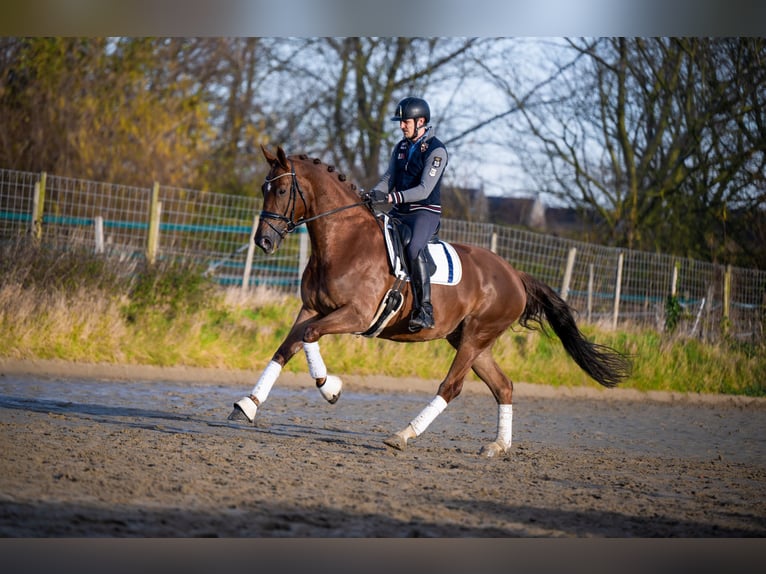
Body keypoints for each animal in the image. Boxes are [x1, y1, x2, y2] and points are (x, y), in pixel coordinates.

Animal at [225, 147, 632, 460]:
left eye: (281, 190)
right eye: (263, 188)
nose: (263, 242)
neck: (344, 242)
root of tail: (515, 275)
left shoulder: (355, 316)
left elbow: (309, 337)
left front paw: (331, 387)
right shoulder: (312, 309)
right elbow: (286, 348)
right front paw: (247, 405)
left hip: (475, 338)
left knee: (450, 387)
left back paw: (403, 435)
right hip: (471, 341)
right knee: (504, 386)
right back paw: (497, 446)